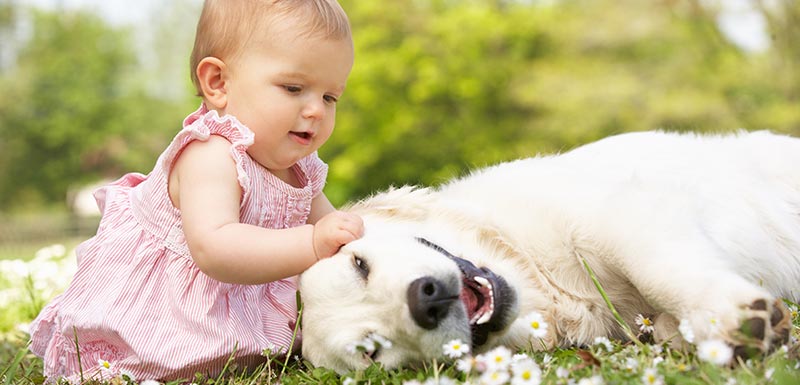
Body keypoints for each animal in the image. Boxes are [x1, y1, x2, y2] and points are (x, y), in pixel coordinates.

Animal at [296, 130, 796, 372]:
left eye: (359, 264)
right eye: (371, 351)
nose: (426, 300)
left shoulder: (618, 213)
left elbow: (659, 271)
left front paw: (729, 316)